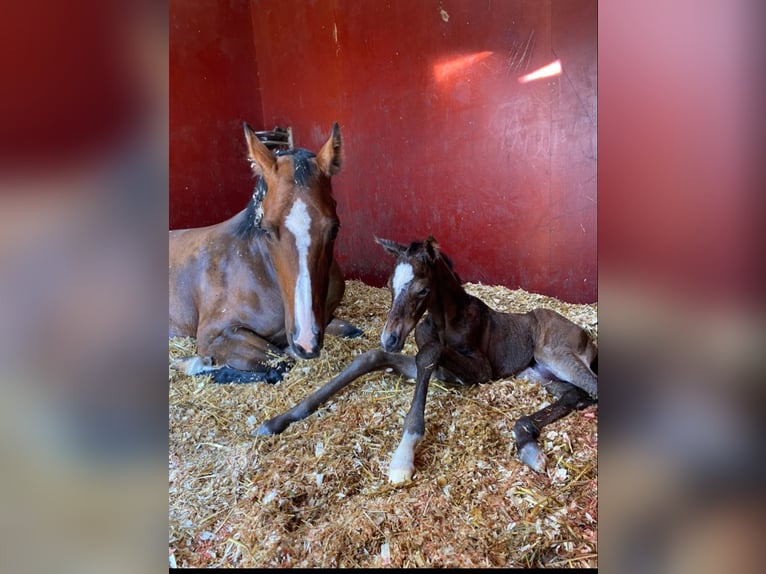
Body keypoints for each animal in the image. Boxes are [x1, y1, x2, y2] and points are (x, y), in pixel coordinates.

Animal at [169, 122, 361, 384]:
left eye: (334, 229)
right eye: (267, 229)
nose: (306, 341)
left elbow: (353, 331)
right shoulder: (215, 335)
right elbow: (281, 363)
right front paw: (195, 365)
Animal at [258, 236, 597, 483]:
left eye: (422, 290)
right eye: (390, 285)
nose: (391, 338)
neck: (444, 321)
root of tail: (584, 335)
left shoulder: (482, 371)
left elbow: (429, 353)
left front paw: (402, 457)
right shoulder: (441, 372)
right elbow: (373, 357)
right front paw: (277, 420)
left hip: (553, 354)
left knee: (591, 387)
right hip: (539, 375)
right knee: (574, 395)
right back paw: (527, 442)